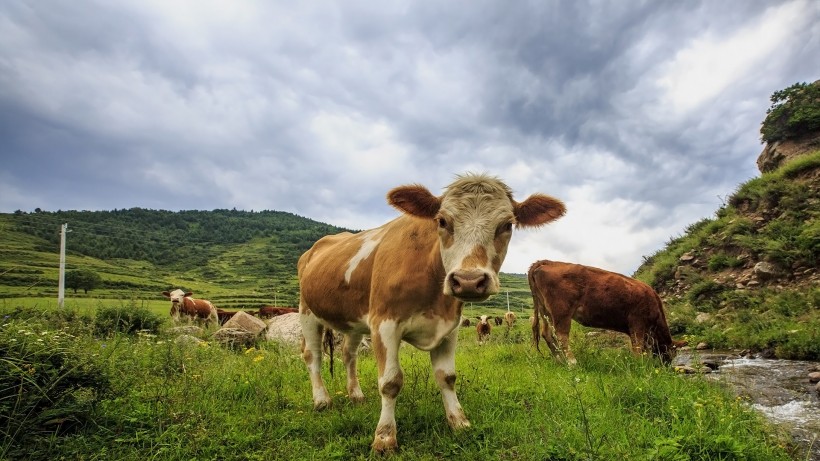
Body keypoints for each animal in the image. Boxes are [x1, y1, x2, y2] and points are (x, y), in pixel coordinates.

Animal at [298, 172, 568, 450]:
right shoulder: (384, 323)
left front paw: (459, 422)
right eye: (442, 221)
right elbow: (390, 382)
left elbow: (447, 376)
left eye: (507, 225)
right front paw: (384, 437)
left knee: (348, 354)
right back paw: (322, 400)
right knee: (312, 355)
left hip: (352, 322)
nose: (468, 280)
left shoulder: (450, 326)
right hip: (307, 311)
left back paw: (356, 395)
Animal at [528, 260, 684, 364]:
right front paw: (639, 364)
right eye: (672, 353)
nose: (666, 367)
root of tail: (548, 262)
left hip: (545, 311)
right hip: (561, 311)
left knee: (547, 334)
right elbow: (638, 346)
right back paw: (572, 362)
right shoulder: (637, 323)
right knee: (561, 336)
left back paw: (560, 361)